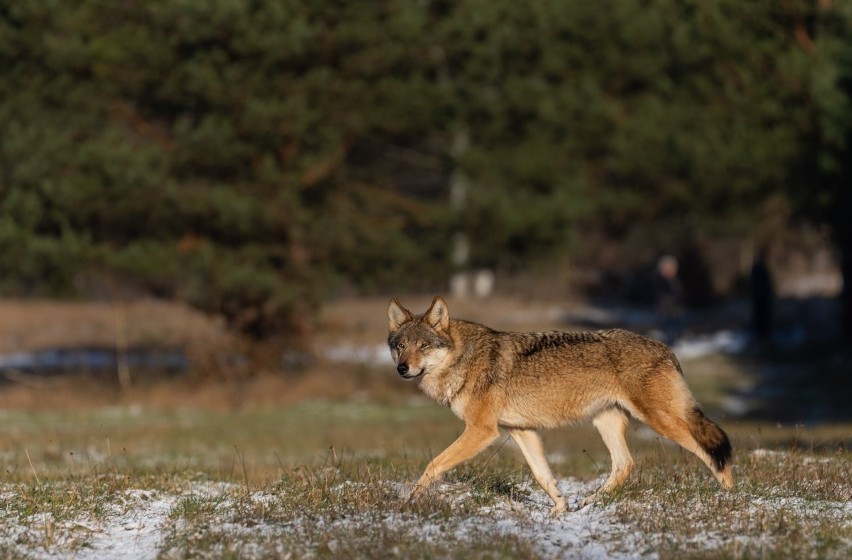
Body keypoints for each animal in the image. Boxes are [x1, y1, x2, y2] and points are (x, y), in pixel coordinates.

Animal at [386, 296, 732, 516]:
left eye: (423, 346)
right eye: (401, 346)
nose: (402, 369)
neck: (464, 359)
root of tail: (666, 348)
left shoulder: (482, 431)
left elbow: (433, 465)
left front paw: (408, 503)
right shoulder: (521, 431)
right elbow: (544, 477)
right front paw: (560, 509)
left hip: (662, 422)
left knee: (711, 451)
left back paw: (730, 495)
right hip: (606, 422)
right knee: (625, 464)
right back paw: (589, 501)